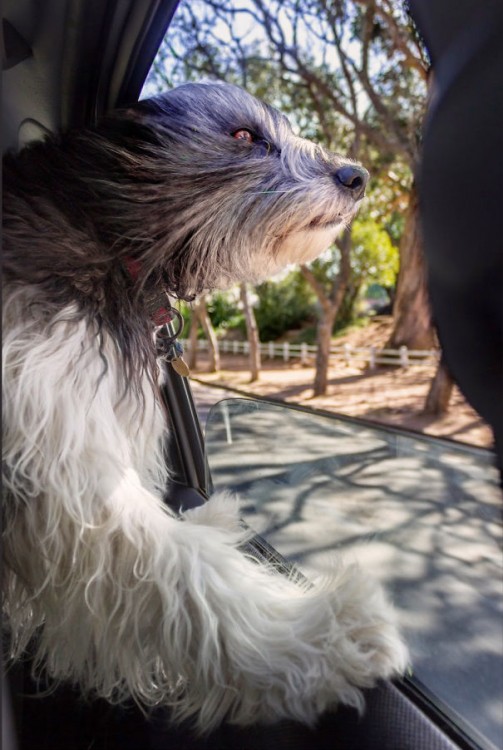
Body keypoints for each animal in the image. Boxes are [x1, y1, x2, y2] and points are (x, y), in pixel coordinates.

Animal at [0, 82, 410, 736]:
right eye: (244, 136)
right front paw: (314, 640)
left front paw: (213, 521)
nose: (358, 176)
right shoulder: (55, 450)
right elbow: (182, 570)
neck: (105, 224)